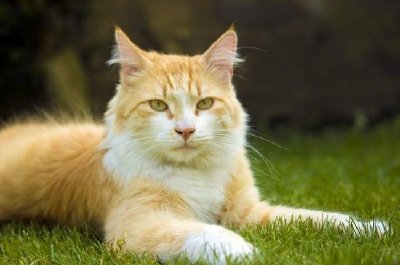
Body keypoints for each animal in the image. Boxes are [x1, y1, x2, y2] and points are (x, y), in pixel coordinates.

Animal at [0, 26, 390, 262]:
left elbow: (313, 218)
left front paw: (370, 228)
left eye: (204, 104)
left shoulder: (249, 212)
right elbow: (201, 232)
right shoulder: (137, 225)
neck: (195, 172)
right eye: (159, 106)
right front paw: (244, 250)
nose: (185, 130)